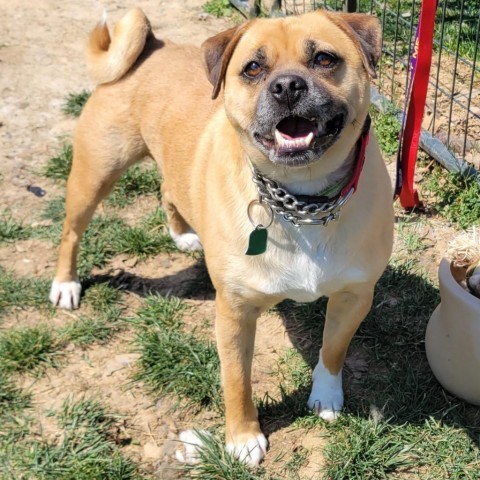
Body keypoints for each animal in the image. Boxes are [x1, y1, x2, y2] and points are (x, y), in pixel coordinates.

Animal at [48, 6, 394, 464]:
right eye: (253, 68)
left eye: (324, 59)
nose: (286, 86)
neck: (302, 201)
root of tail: (152, 46)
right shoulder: (234, 312)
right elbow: (237, 381)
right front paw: (242, 438)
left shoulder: (355, 295)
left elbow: (333, 350)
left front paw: (326, 395)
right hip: (94, 176)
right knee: (71, 232)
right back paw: (65, 284)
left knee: (168, 189)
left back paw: (182, 234)